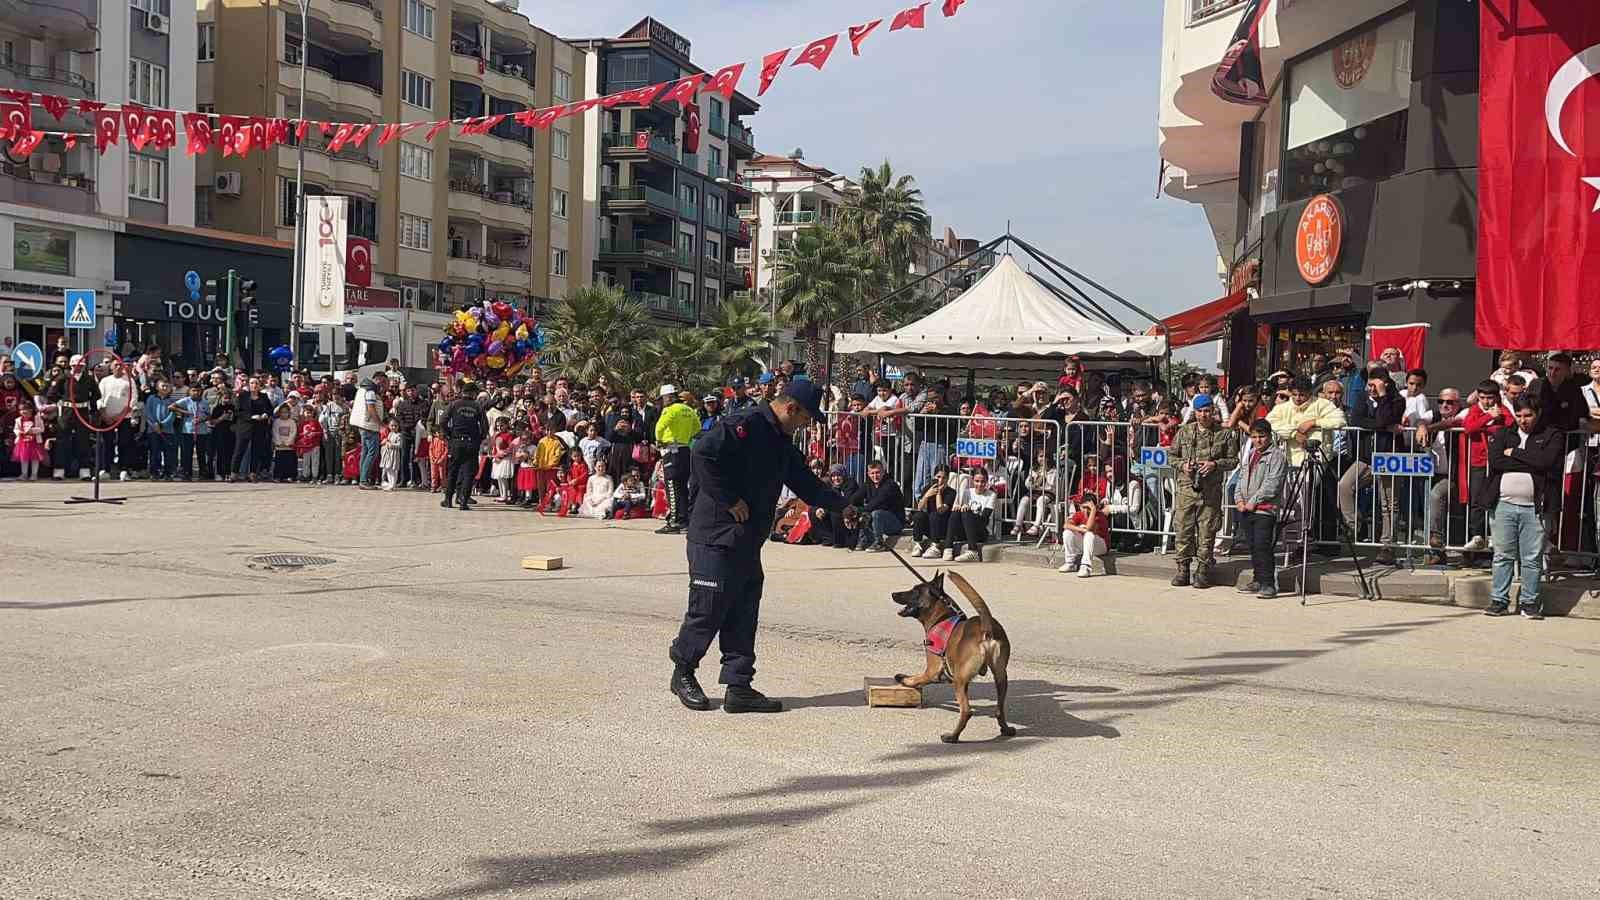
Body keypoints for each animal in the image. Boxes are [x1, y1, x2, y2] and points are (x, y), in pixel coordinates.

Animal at [889, 566, 1011, 743]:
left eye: (915, 591)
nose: (893, 594)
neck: (941, 616)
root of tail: (986, 629)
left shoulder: (932, 670)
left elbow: (917, 678)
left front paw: (905, 679)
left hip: (960, 681)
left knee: (966, 711)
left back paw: (952, 736)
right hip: (1001, 677)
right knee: (999, 709)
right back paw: (1006, 729)